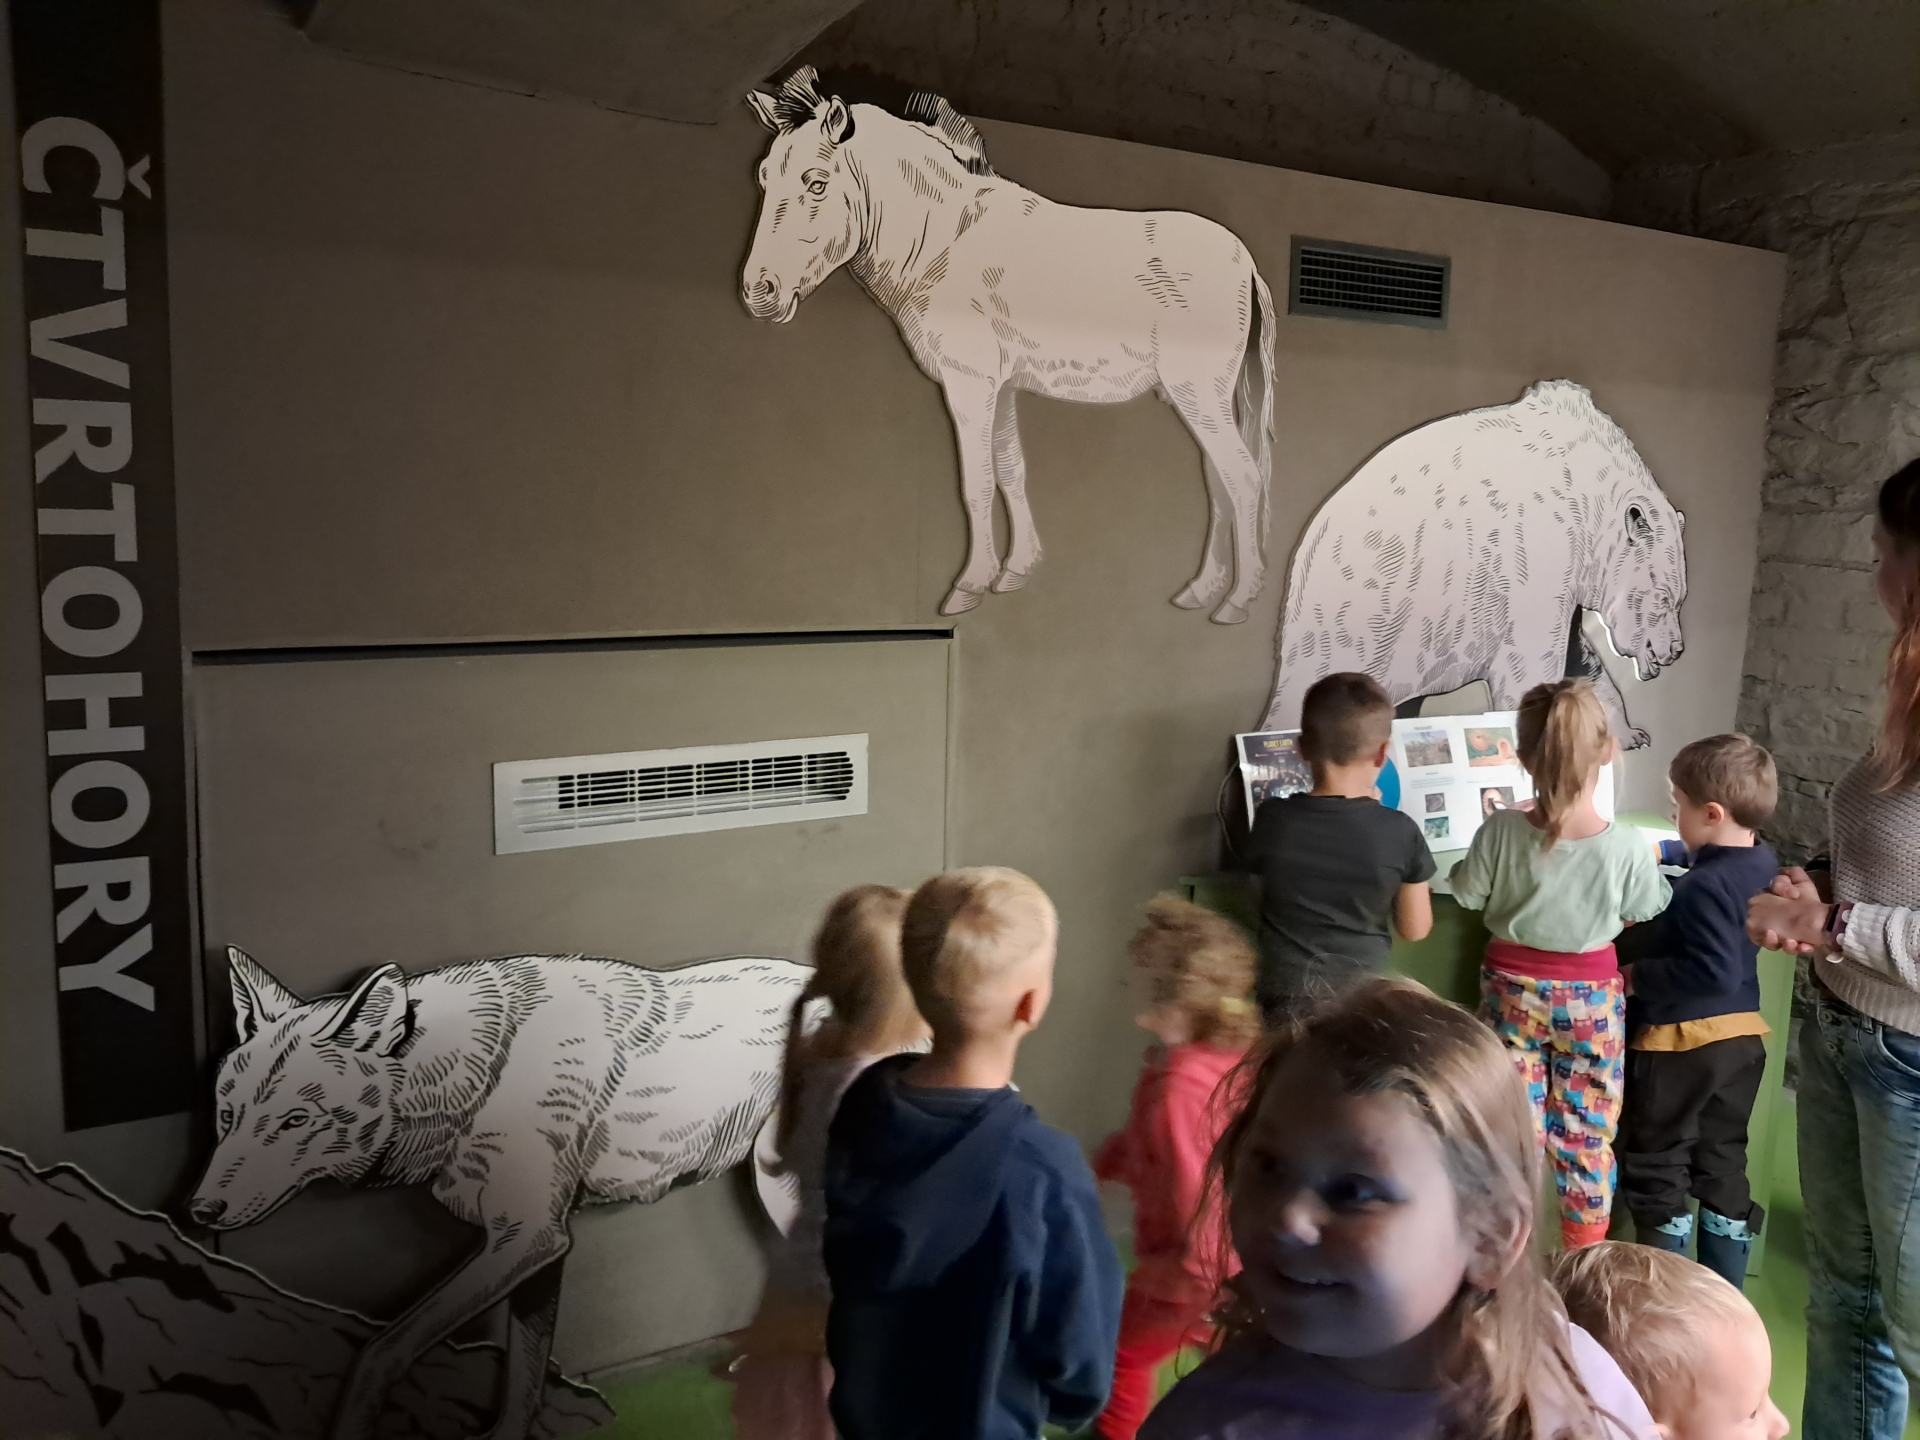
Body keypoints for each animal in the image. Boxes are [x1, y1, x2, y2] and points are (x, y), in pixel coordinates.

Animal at [741, 67, 1276, 623]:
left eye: (816, 183)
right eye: (762, 178)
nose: (758, 294)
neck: (945, 244)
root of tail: (1247, 261)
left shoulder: (969, 383)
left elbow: (975, 483)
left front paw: (970, 586)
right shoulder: (1003, 386)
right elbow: (1010, 470)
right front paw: (1017, 570)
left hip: (1198, 392)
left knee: (1243, 478)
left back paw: (1237, 601)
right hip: (1203, 396)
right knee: (1220, 481)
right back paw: (1201, 591)